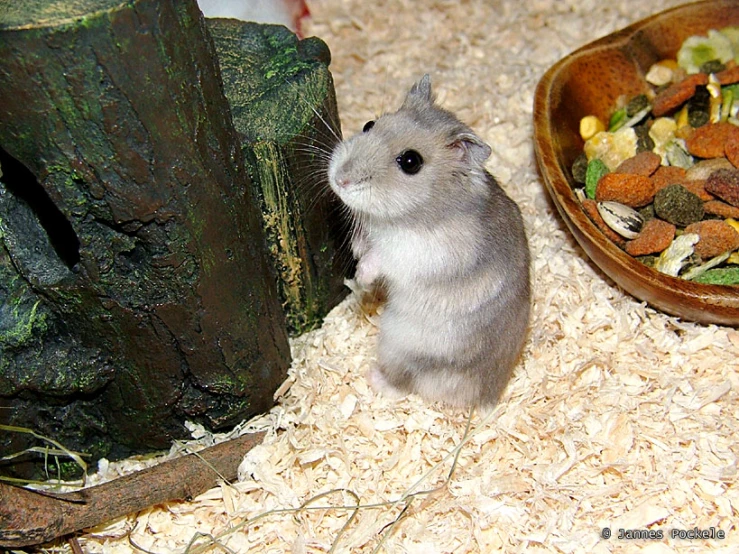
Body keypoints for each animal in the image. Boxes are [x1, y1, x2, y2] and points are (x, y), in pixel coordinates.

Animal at [326, 74, 528, 406]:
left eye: (410, 161)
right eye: (369, 124)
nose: (340, 180)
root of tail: (486, 397)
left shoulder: (418, 254)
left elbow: (380, 258)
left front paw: (360, 277)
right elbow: (365, 243)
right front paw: (356, 249)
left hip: (401, 343)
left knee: (406, 382)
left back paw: (373, 377)